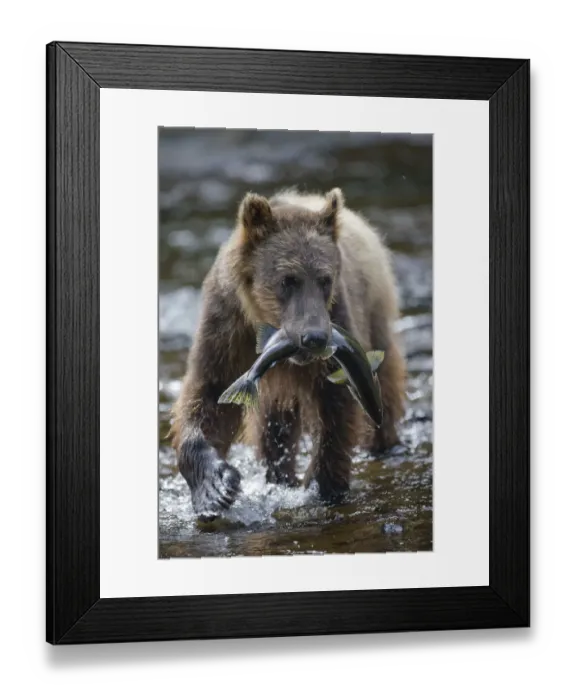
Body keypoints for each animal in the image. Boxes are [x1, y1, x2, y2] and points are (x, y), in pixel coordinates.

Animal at [169, 187, 406, 519]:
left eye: (325, 279)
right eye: (288, 279)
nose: (315, 337)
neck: (260, 318)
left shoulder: (339, 326)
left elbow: (335, 411)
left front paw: (323, 485)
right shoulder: (226, 328)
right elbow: (208, 394)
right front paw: (216, 488)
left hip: (374, 315)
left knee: (383, 383)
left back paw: (384, 443)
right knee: (273, 426)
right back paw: (278, 475)